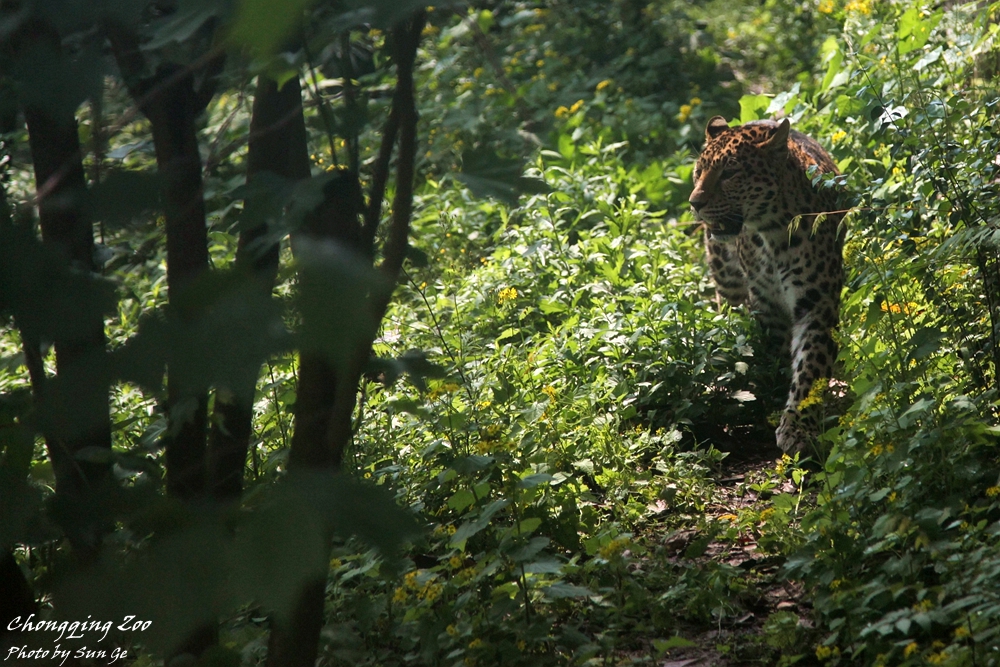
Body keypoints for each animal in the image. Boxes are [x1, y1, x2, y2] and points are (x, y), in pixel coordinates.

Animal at [688, 116, 846, 454]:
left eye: (730, 173)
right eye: (699, 171)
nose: (695, 203)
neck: (771, 233)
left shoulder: (817, 302)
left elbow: (811, 364)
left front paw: (798, 427)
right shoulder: (766, 304)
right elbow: (772, 352)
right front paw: (768, 397)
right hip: (726, 277)